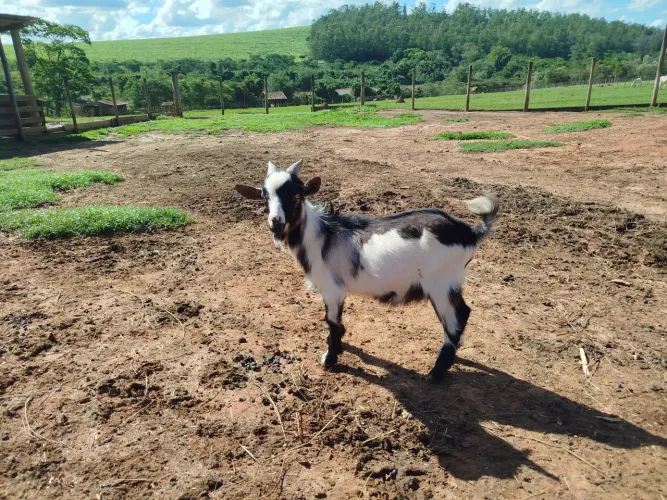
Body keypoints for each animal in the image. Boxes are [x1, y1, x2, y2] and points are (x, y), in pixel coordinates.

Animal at [236, 161, 499, 382]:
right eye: (264, 195)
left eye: (296, 195)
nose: (276, 222)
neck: (321, 237)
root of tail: (471, 232)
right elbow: (335, 322)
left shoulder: (333, 289)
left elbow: (332, 321)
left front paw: (330, 358)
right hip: (450, 283)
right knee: (464, 312)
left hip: (440, 284)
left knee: (455, 319)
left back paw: (435, 373)